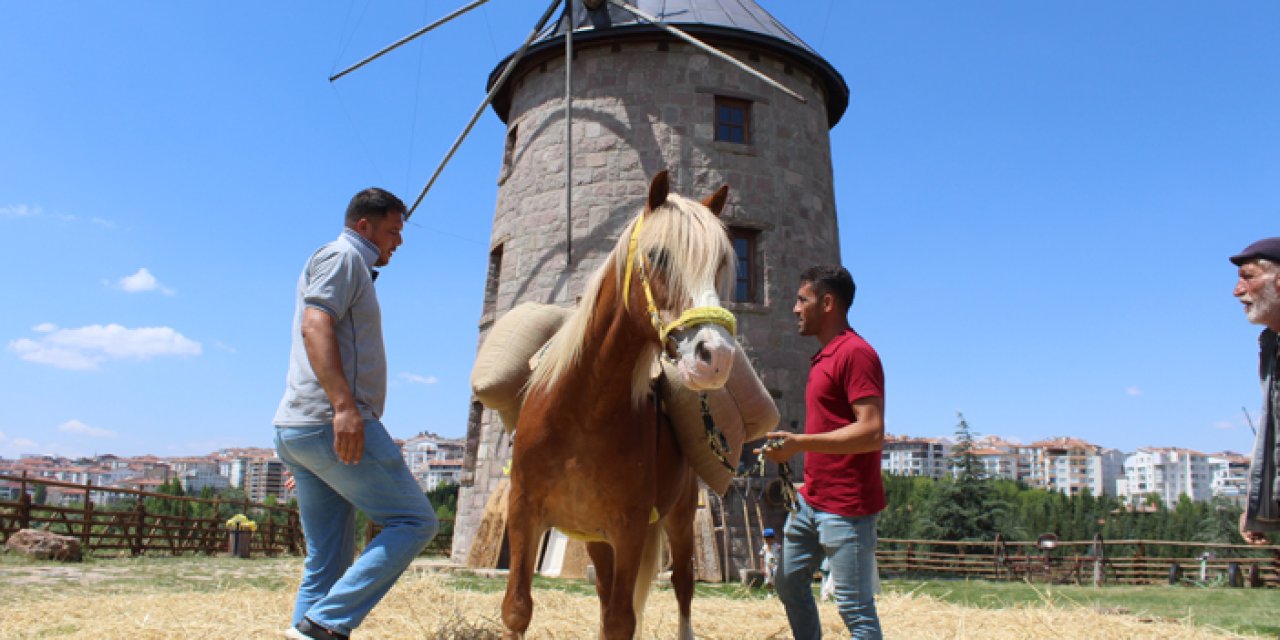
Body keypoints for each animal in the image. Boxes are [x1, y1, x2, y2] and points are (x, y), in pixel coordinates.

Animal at [501, 171, 742, 640]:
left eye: (722, 263)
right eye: (659, 255)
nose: (717, 357)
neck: (582, 412)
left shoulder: (630, 528)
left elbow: (621, 620)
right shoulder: (524, 515)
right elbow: (517, 608)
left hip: (679, 519)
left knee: (683, 585)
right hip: (596, 538)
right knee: (605, 589)